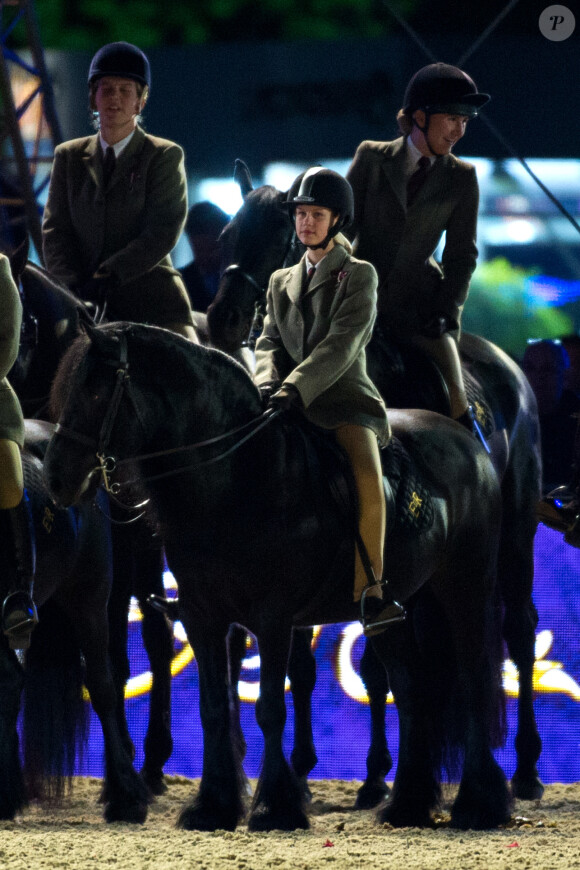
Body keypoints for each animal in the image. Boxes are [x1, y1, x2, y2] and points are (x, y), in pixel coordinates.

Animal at [43, 324, 510, 836]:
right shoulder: (202, 617)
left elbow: (269, 708)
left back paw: (479, 805)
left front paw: (274, 808)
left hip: (465, 589)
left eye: (96, 389)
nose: (56, 478)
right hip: (391, 610)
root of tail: (467, 439)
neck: (236, 476)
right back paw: (407, 805)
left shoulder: (273, 618)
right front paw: (212, 806)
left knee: (472, 680)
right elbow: (214, 708)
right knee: (410, 689)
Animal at [206, 165, 540, 812]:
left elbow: (379, 667)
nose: (224, 319)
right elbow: (301, 663)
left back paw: (526, 771)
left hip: (514, 532)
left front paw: (376, 774)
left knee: (517, 627)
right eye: (226, 234)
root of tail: (510, 366)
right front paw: (302, 769)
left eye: (278, 238)